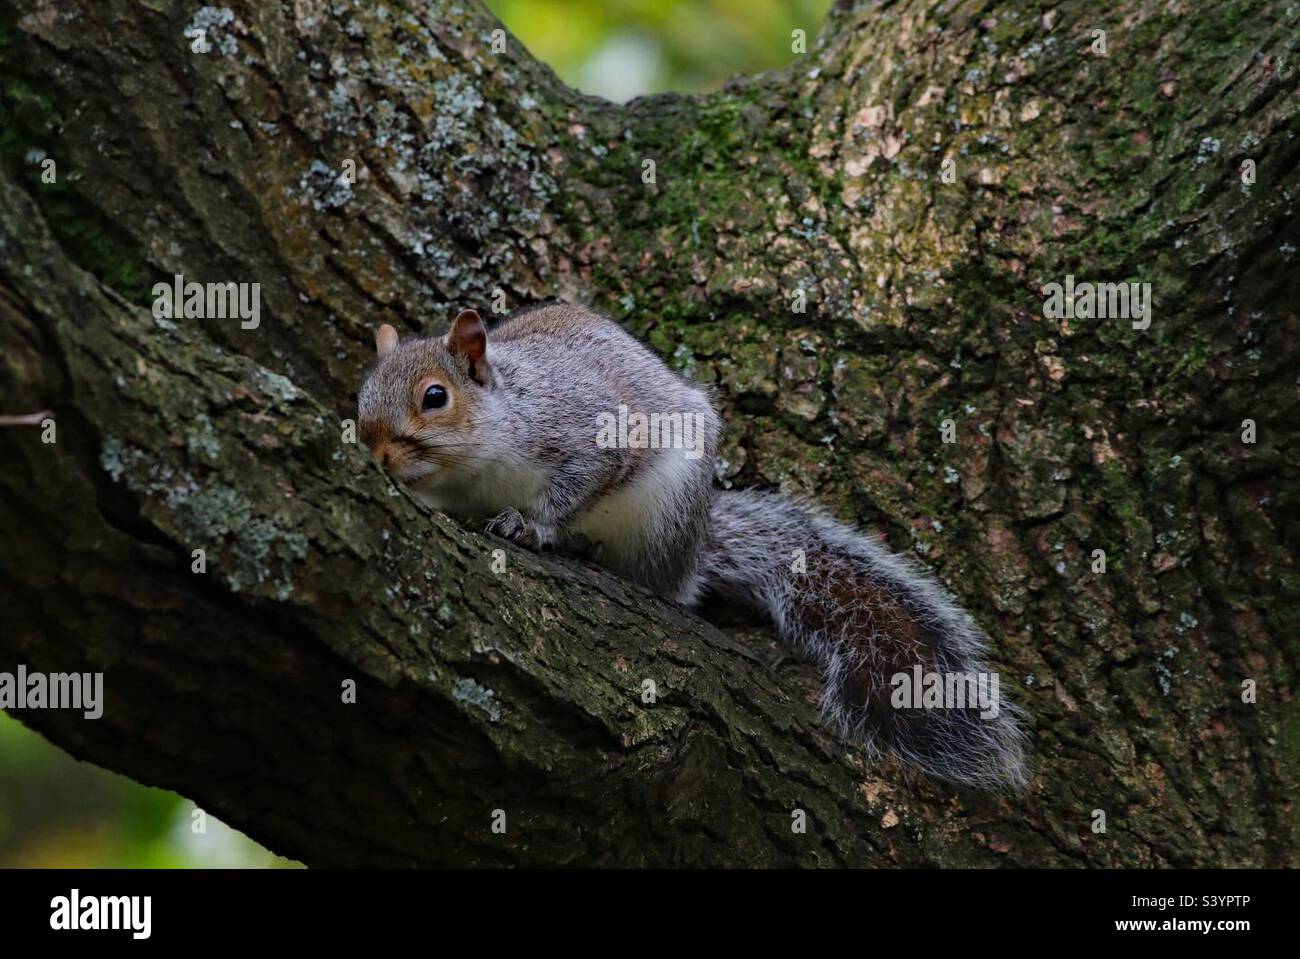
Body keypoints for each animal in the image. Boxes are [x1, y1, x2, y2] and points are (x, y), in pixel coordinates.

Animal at [357, 303, 1028, 791]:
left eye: (436, 396)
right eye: (362, 400)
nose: (380, 455)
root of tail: (694, 550)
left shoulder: (586, 434)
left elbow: (577, 486)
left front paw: (533, 527)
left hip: (665, 514)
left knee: (663, 585)